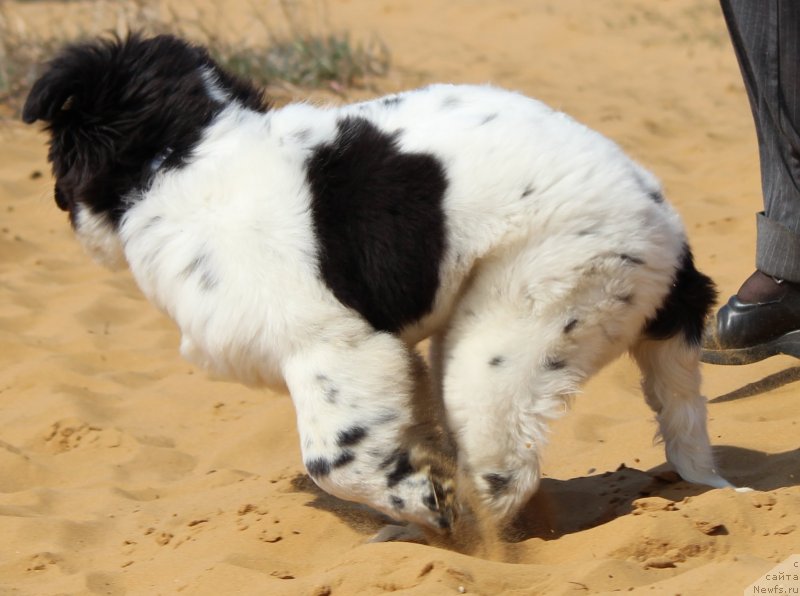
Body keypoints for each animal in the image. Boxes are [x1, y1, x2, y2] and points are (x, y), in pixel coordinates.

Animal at [25, 32, 736, 536]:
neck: (181, 160)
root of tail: (671, 240)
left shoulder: (333, 346)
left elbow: (332, 460)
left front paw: (420, 500)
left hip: (526, 319)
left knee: (504, 467)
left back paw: (457, 534)